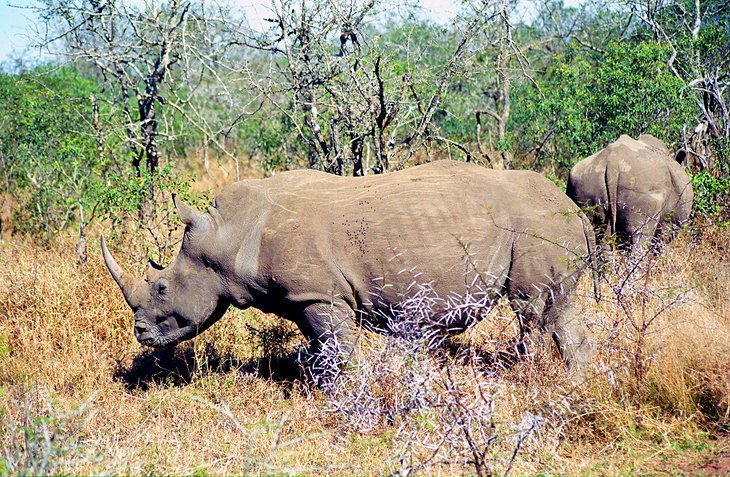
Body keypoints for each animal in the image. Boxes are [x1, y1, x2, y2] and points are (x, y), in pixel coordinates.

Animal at [101, 160, 596, 380]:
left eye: (162, 287)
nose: (140, 333)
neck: (230, 235)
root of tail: (572, 208)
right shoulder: (305, 298)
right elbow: (325, 349)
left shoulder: (319, 293)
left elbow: (342, 350)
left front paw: (356, 393)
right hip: (546, 226)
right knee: (559, 309)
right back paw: (574, 382)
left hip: (535, 226)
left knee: (530, 308)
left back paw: (525, 378)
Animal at [564, 134, 692, 253]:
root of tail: (612, 163)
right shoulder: (668, 224)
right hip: (642, 184)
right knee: (639, 237)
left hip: (586, 181)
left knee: (600, 234)